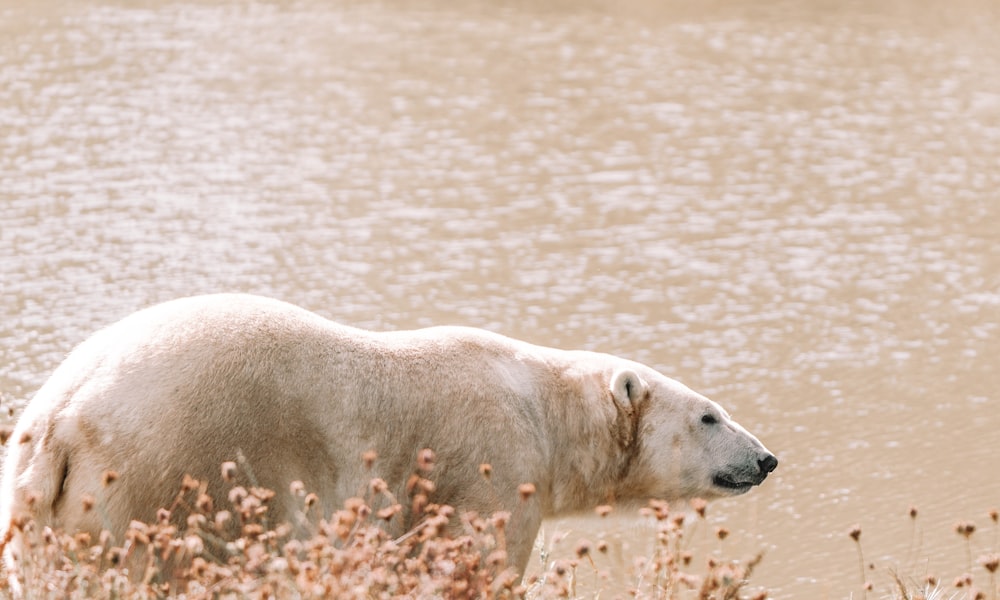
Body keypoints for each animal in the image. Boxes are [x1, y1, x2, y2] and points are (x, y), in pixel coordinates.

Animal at [0, 292, 776, 584]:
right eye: (710, 416)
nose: (767, 458)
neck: (543, 405)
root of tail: (60, 418)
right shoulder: (491, 461)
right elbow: (474, 561)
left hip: (47, 506)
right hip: (165, 470)